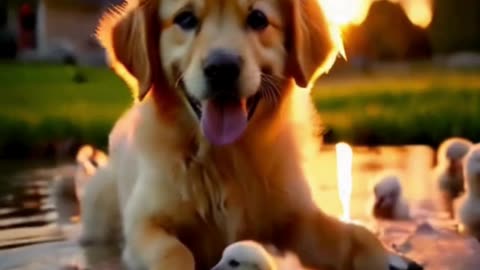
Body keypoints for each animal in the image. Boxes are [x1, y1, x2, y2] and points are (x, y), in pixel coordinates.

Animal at [80, 0, 390, 268]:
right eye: (185, 19)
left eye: (258, 19)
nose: (222, 68)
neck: (223, 157)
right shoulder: (145, 224)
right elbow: (174, 251)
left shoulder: (296, 216)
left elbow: (361, 238)